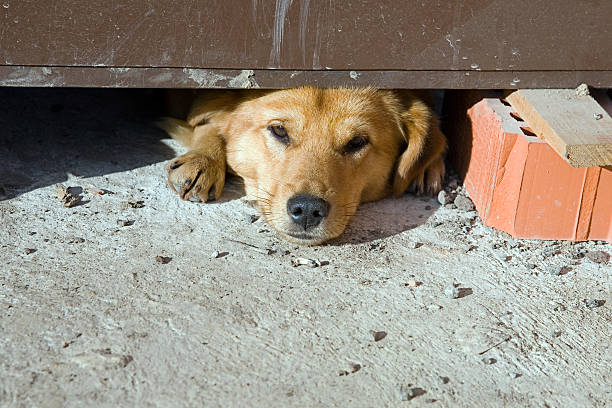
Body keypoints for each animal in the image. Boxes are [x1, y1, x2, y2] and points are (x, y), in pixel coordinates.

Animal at [158, 87, 444, 244]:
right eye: (279, 130)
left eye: (356, 142)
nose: (307, 210)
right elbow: (207, 125)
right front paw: (203, 159)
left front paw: (430, 166)